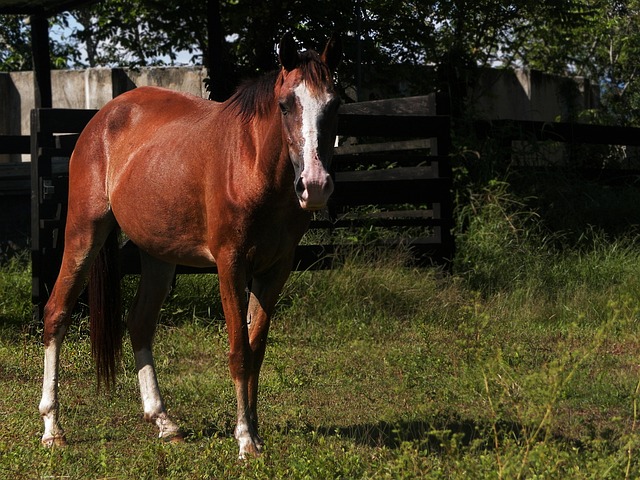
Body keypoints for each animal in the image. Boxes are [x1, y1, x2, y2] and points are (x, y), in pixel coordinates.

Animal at [38, 31, 342, 460]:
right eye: (285, 105)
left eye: (333, 104)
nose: (314, 186)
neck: (250, 163)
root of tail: (102, 118)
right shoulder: (231, 264)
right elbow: (239, 351)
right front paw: (245, 440)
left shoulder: (275, 269)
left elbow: (257, 349)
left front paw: (254, 431)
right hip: (84, 233)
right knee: (56, 314)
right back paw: (52, 427)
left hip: (158, 256)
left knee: (140, 323)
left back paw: (164, 422)